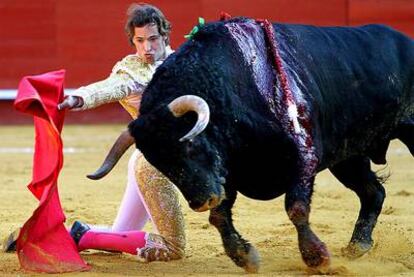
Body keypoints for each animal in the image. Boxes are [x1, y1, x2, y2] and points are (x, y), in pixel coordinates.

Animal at [90, 18, 414, 270]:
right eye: (159, 163)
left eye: (189, 146)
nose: (201, 201)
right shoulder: (226, 175)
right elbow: (219, 217)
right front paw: (245, 257)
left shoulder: (303, 156)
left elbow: (296, 207)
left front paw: (317, 258)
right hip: (349, 156)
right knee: (373, 192)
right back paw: (358, 245)